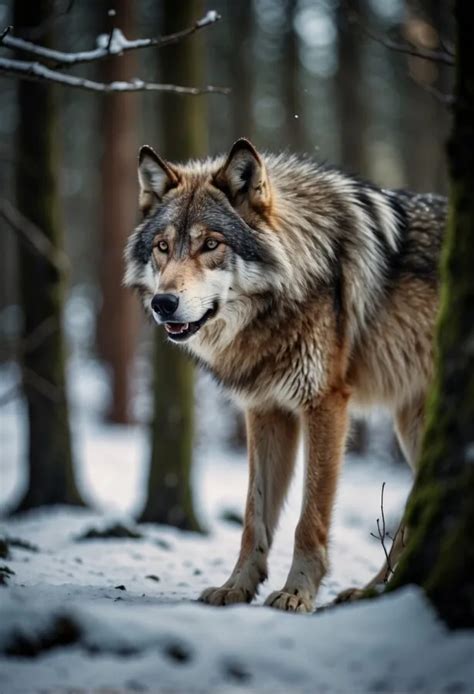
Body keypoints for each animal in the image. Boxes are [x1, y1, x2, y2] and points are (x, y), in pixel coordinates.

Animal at [125, 138, 446, 613]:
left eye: (211, 244)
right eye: (163, 247)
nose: (163, 303)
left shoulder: (326, 404)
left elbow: (309, 518)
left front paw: (297, 593)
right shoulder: (266, 410)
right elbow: (253, 516)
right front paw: (236, 587)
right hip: (413, 424)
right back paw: (371, 592)